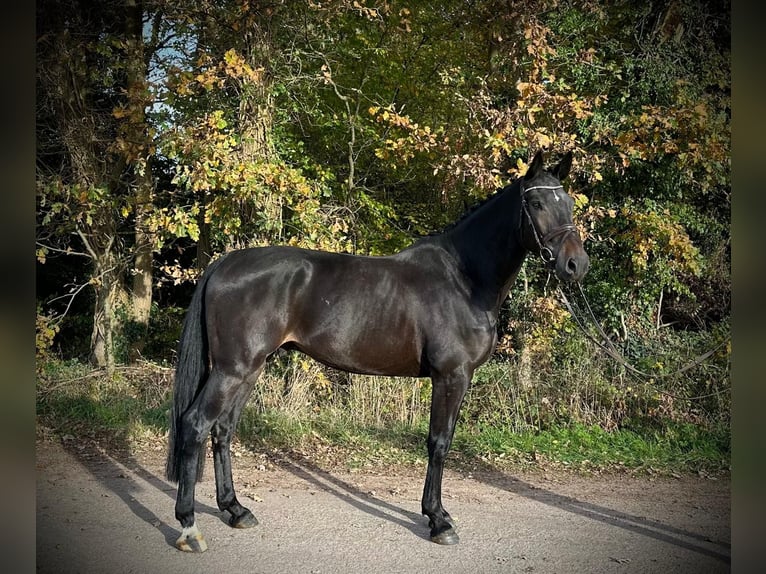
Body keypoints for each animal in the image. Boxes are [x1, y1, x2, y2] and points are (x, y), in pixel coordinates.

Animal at [165, 150, 589, 552]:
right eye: (536, 204)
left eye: (569, 203)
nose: (576, 265)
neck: (464, 279)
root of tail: (225, 263)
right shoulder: (451, 376)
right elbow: (439, 443)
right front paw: (438, 521)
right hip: (232, 369)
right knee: (196, 424)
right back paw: (189, 527)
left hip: (250, 369)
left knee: (222, 430)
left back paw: (236, 510)